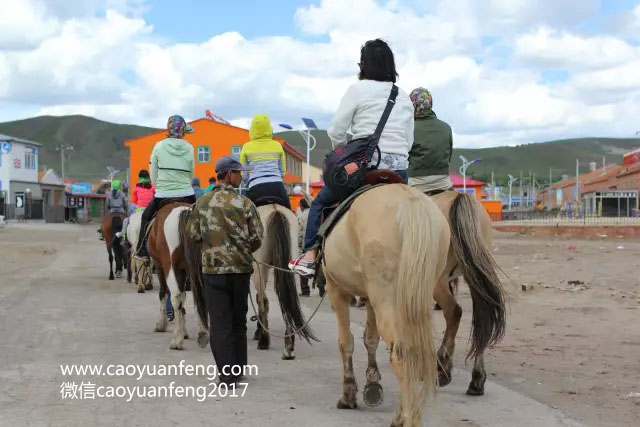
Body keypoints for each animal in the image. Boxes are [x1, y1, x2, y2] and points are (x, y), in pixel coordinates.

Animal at [147, 204, 208, 352]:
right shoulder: (184, 270)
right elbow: (184, 297)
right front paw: (185, 331)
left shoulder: (160, 266)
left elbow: (163, 294)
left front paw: (161, 324)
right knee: (201, 296)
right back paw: (203, 333)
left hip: (168, 265)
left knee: (175, 296)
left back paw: (176, 341)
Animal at [322, 185, 452, 427]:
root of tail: (410, 202)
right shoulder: (369, 299)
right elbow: (370, 339)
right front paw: (372, 383)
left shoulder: (337, 291)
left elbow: (346, 342)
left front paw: (348, 394)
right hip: (412, 298)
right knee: (412, 355)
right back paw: (402, 415)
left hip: (386, 299)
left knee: (401, 357)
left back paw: (407, 419)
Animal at [428, 191, 508, 398]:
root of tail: (459, 197)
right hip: (475, 272)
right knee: (482, 319)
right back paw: (477, 379)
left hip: (438, 281)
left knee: (454, 312)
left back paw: (443, 368)